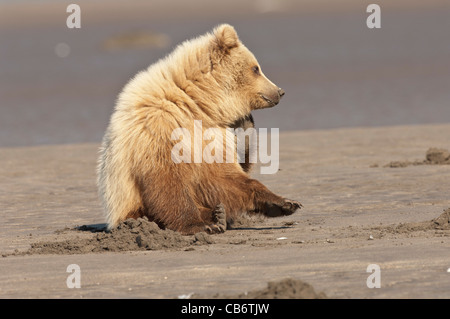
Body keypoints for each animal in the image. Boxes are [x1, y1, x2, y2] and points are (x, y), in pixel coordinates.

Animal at [98, 23, 302, 235]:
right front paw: (200, 224)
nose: (280, 91)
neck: (196, 106)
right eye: (256, 68)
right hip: (127, 206)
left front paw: (284, 203)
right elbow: (168, 183)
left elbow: (224, 178)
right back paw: (214, 216)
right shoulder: (158, 131)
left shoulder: (211, 137)